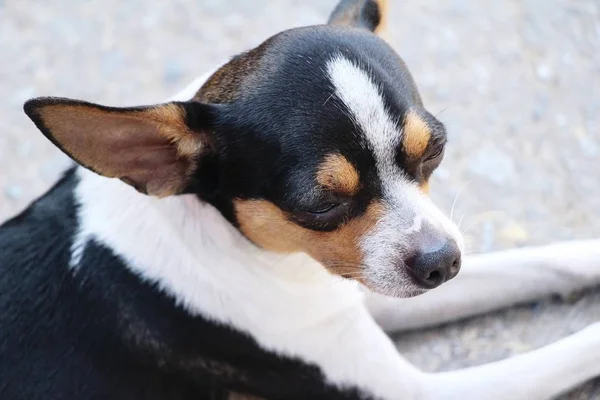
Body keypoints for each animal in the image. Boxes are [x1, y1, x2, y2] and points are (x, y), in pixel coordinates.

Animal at [1, 0, 600, 398]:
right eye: (320, 205)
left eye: (434, 152)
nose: (442, 261)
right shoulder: (411, 388)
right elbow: (573, 348)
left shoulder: (357, 291)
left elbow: (547, 260)